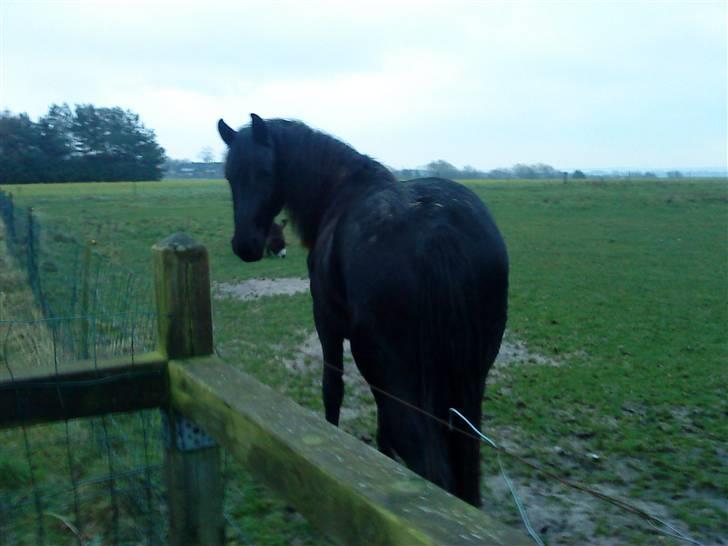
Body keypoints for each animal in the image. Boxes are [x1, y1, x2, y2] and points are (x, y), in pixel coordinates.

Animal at [219, 115, 510, 506]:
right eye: (229, 175)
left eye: (265, 172)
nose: (246, 245)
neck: (341, 192)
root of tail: (439, 232)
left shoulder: (327, 325)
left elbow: (332, 390)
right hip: (468, 383)